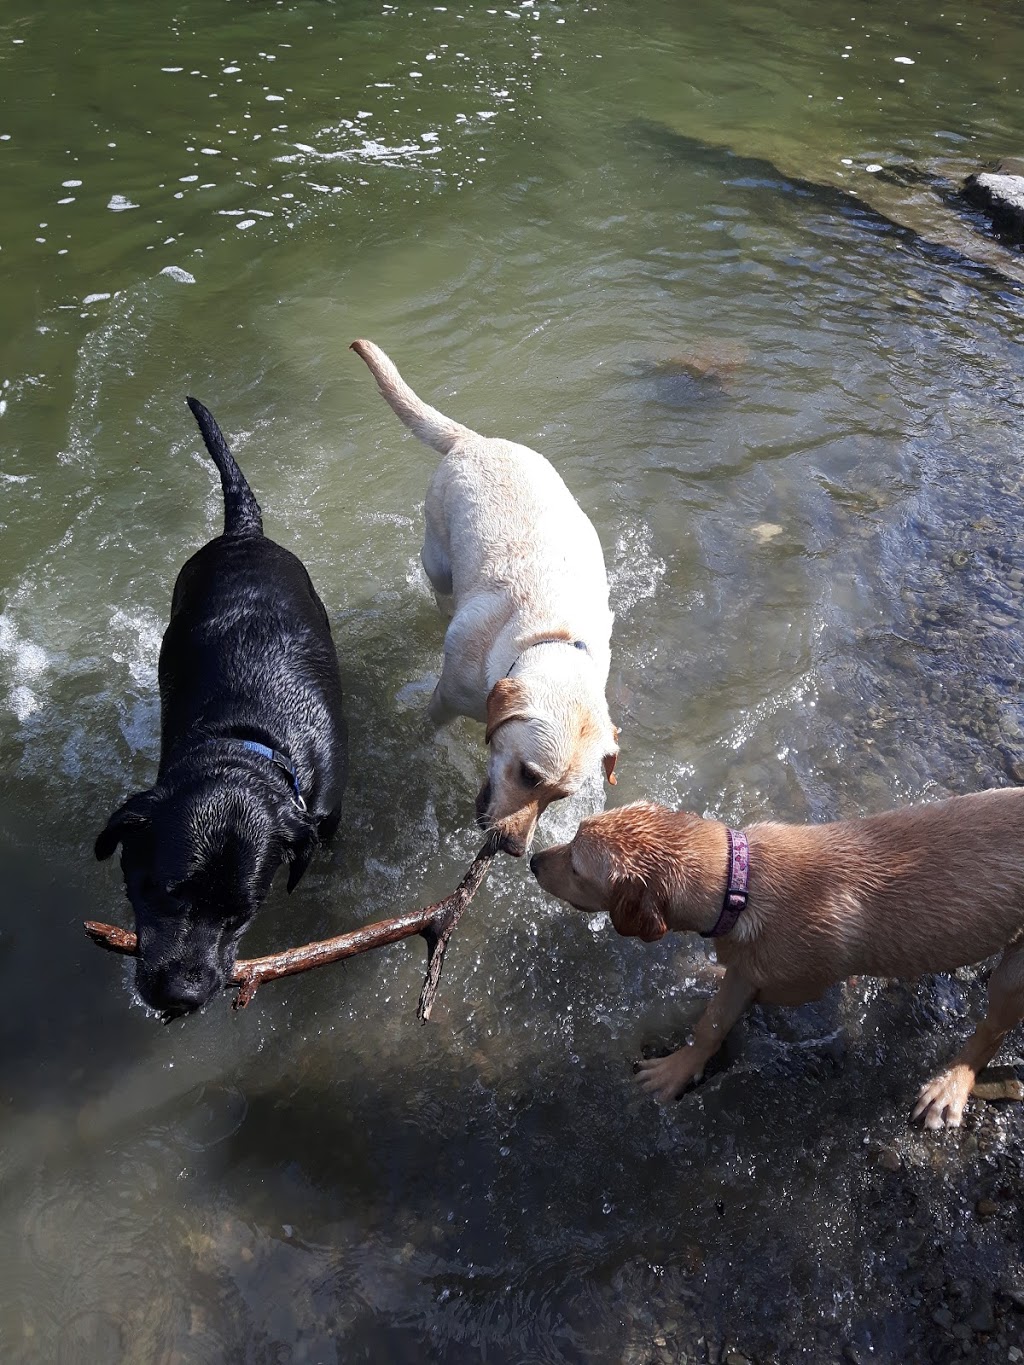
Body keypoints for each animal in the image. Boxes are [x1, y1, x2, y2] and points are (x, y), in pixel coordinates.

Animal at [354, 338, 617, 851]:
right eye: (529, 775)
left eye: (561, 797)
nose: (513, 848)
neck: (546, 635)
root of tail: (474, 440)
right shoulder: (445, 698)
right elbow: (426, 733)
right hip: (437, 559)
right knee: (441, 588)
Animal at [532, 791, 1024, 1130]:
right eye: (573, 833)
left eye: (576, 867)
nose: (533, 860)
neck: (741, 883)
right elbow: (715, 1007)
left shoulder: (796, 984)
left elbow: (728, 1004)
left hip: (1012, 977)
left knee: (991, 1033)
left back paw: (949, 1086)